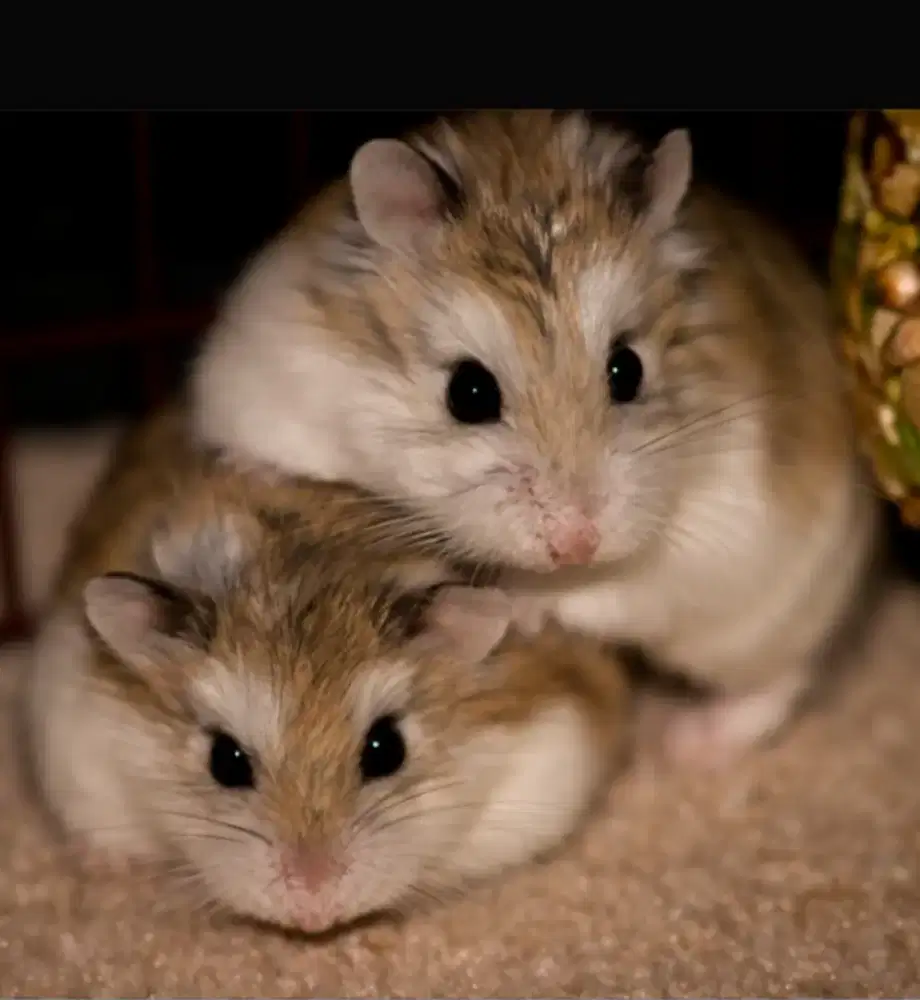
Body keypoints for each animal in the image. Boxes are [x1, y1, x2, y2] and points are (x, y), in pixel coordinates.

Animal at [190, 109, 881, 767]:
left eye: (628, 369)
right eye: (469, 392)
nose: (577, 544)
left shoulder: (699, 543)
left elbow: (608, 590)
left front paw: (514, 602)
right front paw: (252, 470)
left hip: (766, 617)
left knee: (776, 682)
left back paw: (686, 744)